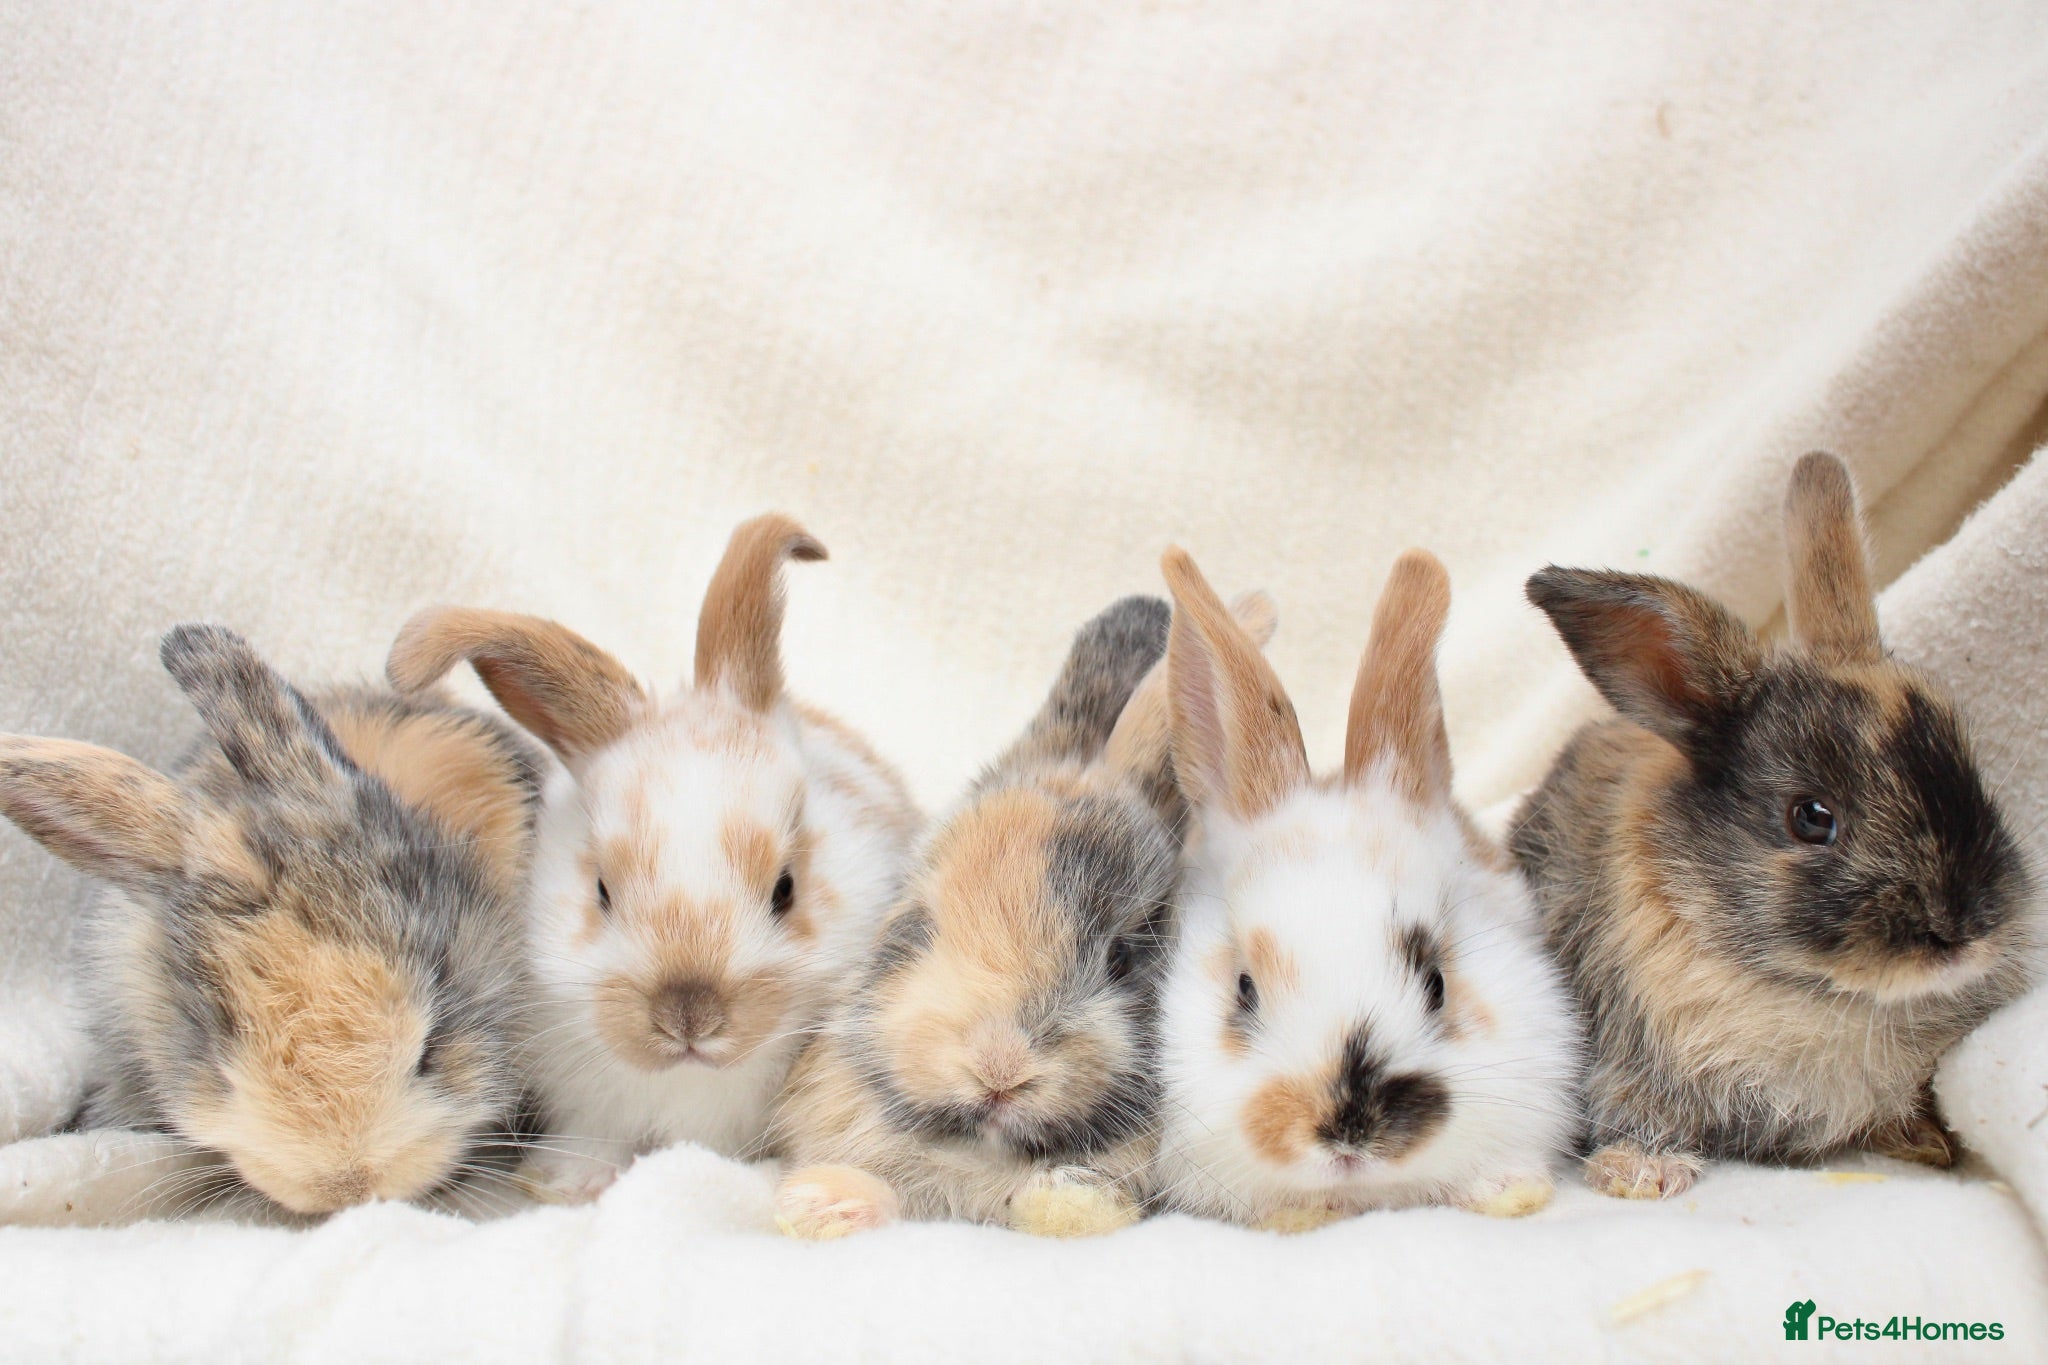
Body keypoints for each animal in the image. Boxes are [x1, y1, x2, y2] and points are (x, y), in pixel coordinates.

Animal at [1509, 452, 2037, 1199]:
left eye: (1971, 765)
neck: (1817, 991)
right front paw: (1641, 1173)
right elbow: (1636, 1115)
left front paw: (1925, 1139)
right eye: (1811, 818)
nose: (1966, 928)